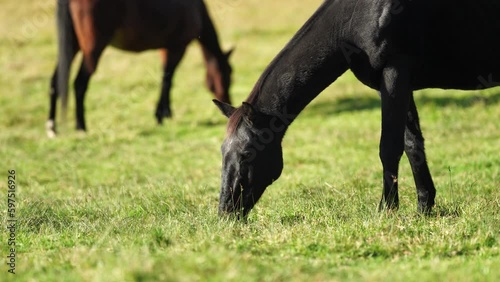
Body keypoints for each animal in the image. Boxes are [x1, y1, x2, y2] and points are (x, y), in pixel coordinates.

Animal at [47, 0, 233, 137]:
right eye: (228, 75)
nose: (227, 100)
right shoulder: (177, 47)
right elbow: (167, 79)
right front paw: (161, 115)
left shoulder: (165, 48)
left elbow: (166, 79)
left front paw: (165, 112)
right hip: (93, 48)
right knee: (80, 83)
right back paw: (81, 127)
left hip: (72, 45)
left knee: (55, 82)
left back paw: (51, 128)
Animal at [212, 0, 500, 218]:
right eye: (222, 152)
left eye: (247, 154)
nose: (226, 212)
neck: (356, 17)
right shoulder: (397, 84)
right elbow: (412, 144)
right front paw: (424, 207)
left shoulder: (395, 73)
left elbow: (389, 148)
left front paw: (387, 209)